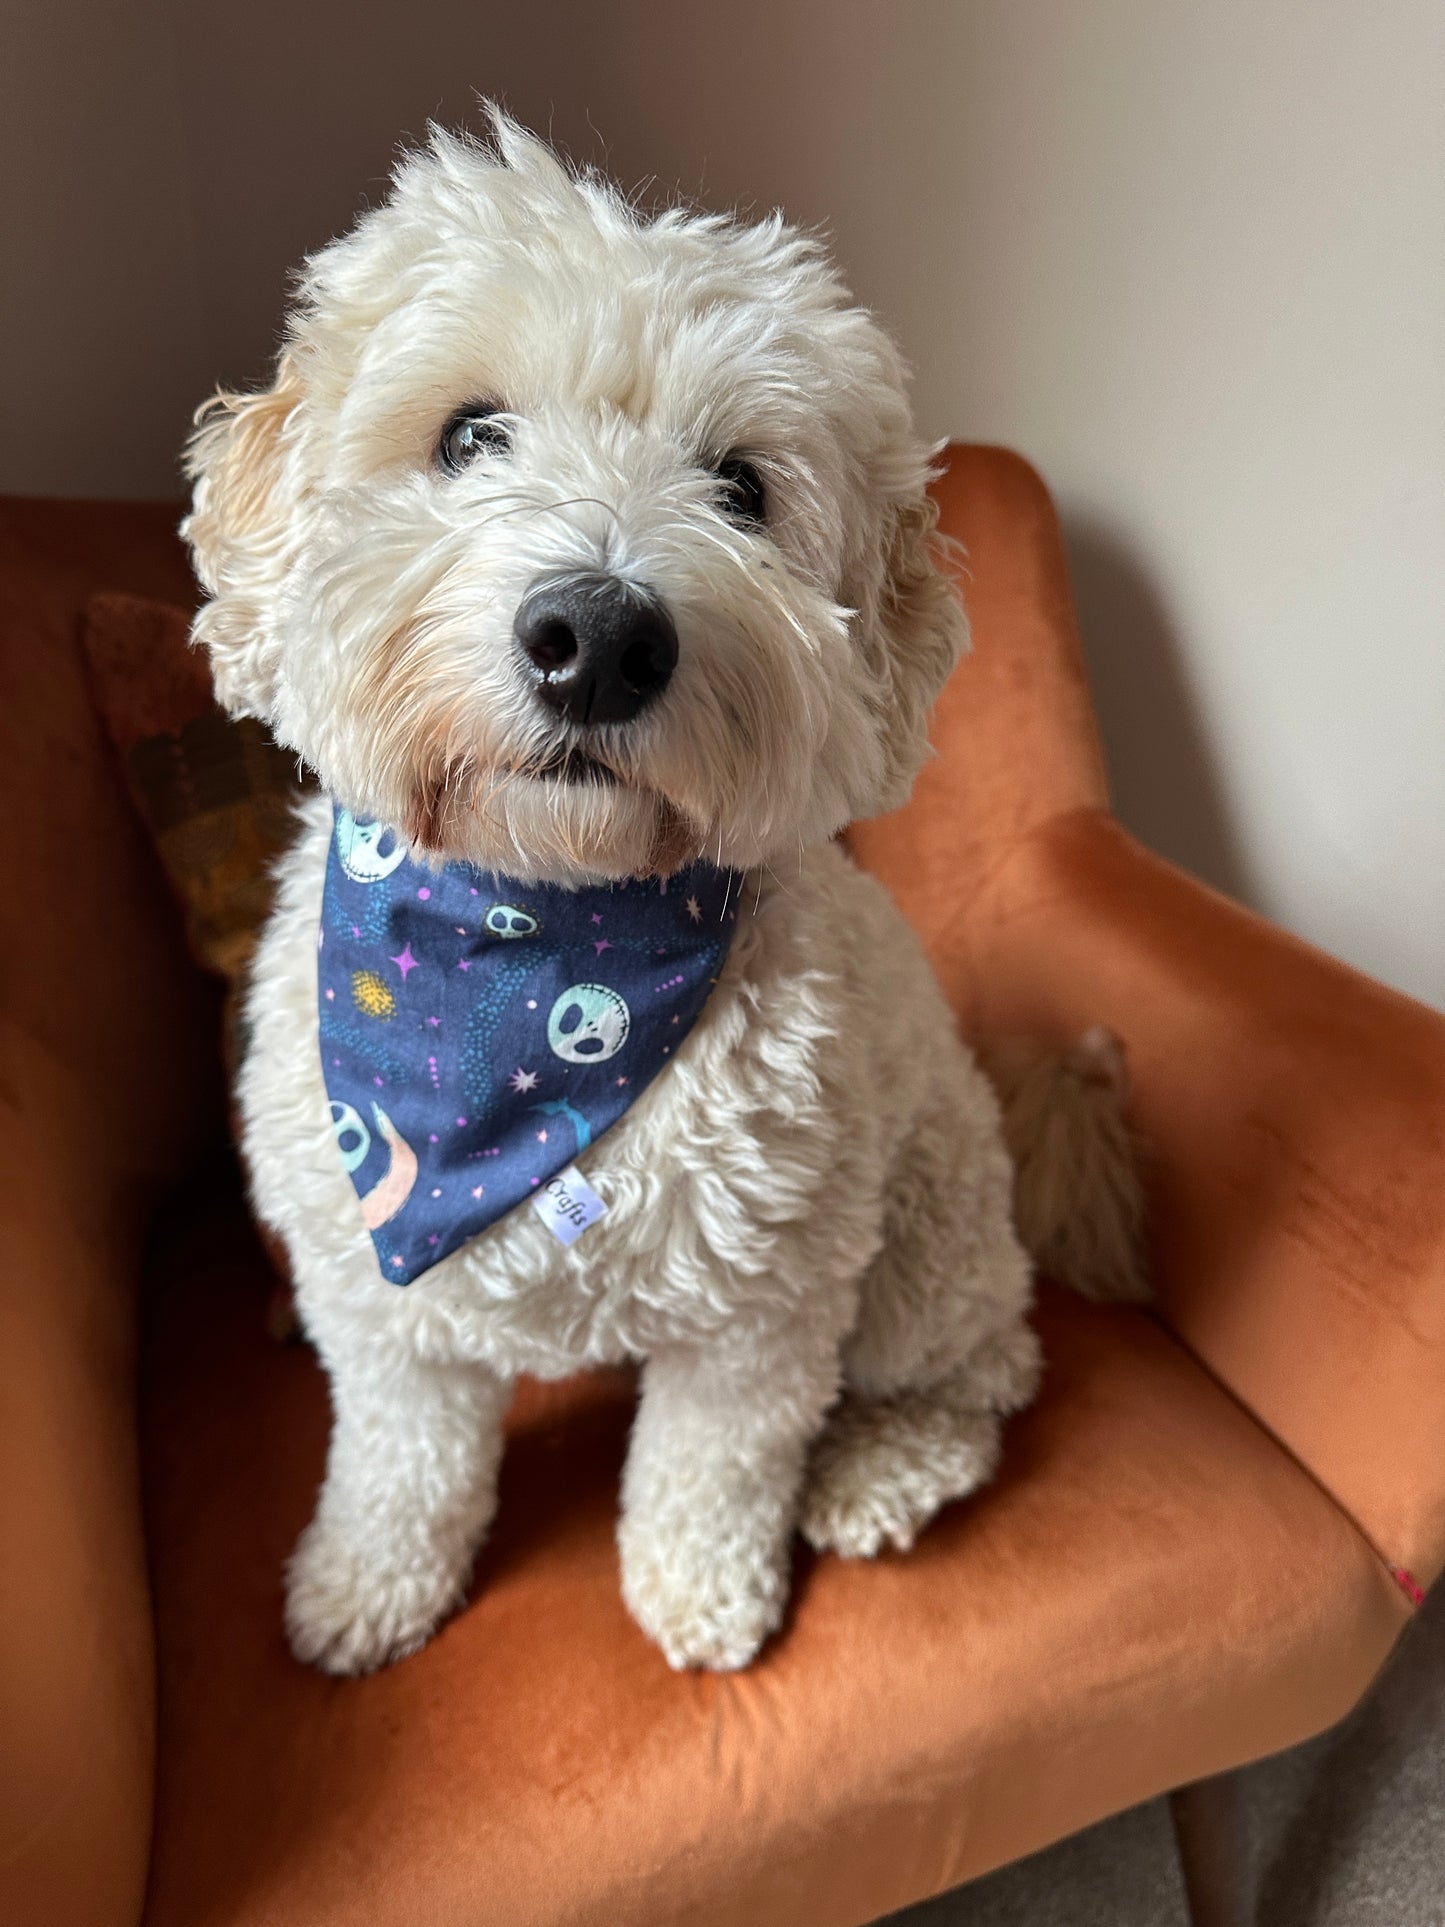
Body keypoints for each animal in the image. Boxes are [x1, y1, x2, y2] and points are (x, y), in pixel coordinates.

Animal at [181, 112, 1140, 1672]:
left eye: (741, 487)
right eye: (468, 435)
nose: (597, 635)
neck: (535, 949)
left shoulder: (762, 1305)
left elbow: (715, 1461)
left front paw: (701, 1593)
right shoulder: (374, 1303)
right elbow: (397, 1457)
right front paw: (367, 1583)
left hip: (918, 1243)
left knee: (987, 1366)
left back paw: (880, 1468)